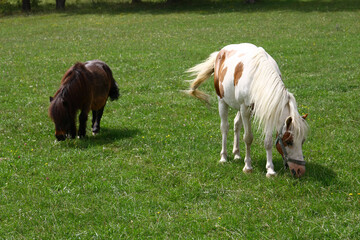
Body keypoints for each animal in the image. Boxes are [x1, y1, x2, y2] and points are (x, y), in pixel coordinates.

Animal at [186, 43, 310, 178]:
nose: (300, 170)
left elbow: (268, 141)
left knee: (236, 125)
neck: (258, 77)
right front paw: (248, 167)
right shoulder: (245, 109)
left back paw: (237, 154)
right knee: (225, 127)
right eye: (289, 141)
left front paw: (270, 170)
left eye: (303, 141)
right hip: (222, 102)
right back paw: (224, 157)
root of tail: (221, 52)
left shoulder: (268, 110)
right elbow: (248, 138)